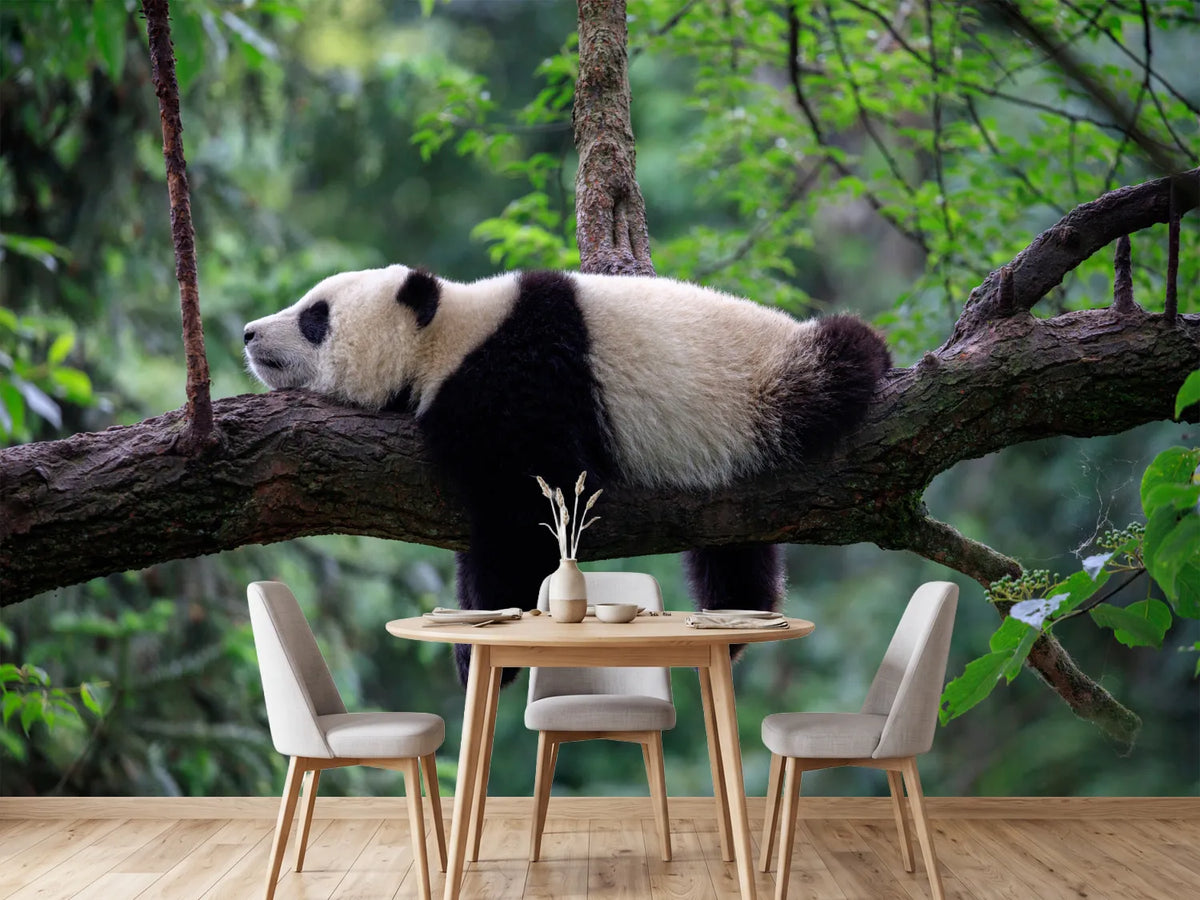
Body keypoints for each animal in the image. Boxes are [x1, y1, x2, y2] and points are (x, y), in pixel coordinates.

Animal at [244, 265, 890, 684]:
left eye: (315, 317)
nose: (248, 332)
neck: (450, 336)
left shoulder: (520, 380)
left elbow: (529, 507)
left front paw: (479, 647)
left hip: (768, 385)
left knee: (838, 362)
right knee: (735, 555)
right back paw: (733, 626)